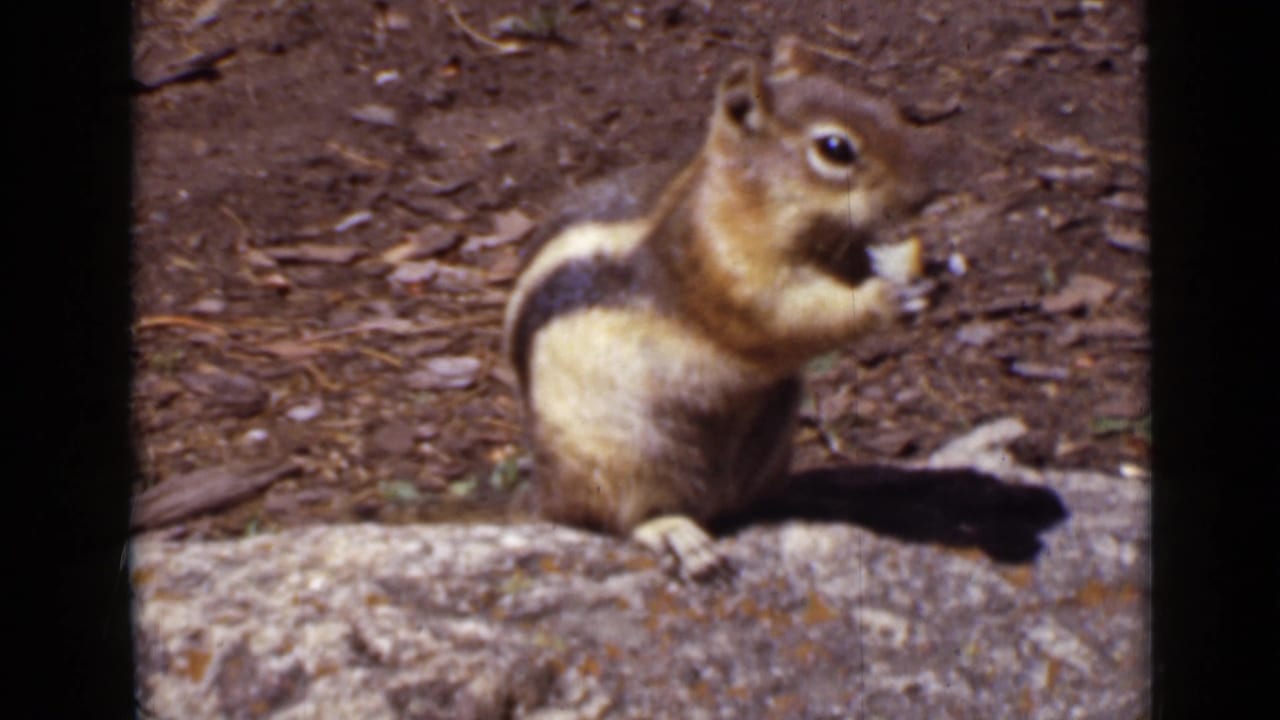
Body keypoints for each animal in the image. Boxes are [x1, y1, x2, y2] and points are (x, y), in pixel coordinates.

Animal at [503, 35, 937, 580]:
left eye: (886, 108)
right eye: (835, 149)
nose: (927, 194)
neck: (746, 204)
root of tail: (546, 495)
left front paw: (917, 269)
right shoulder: (725, 273)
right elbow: (787, 316)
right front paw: (885, 298)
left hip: (773, 428)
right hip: (623, 454)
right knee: (616, 516)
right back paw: (675, 534)